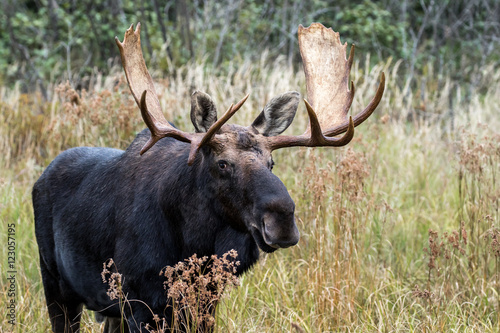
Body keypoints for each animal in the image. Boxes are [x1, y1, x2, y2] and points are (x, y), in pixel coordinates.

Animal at [33, 22, 384, 330]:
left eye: (271, 162)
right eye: (222, 164)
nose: (282, 221)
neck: (193, 242)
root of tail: (40, 179)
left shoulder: (205, 301)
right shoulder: (139, 302)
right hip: (56, 285)